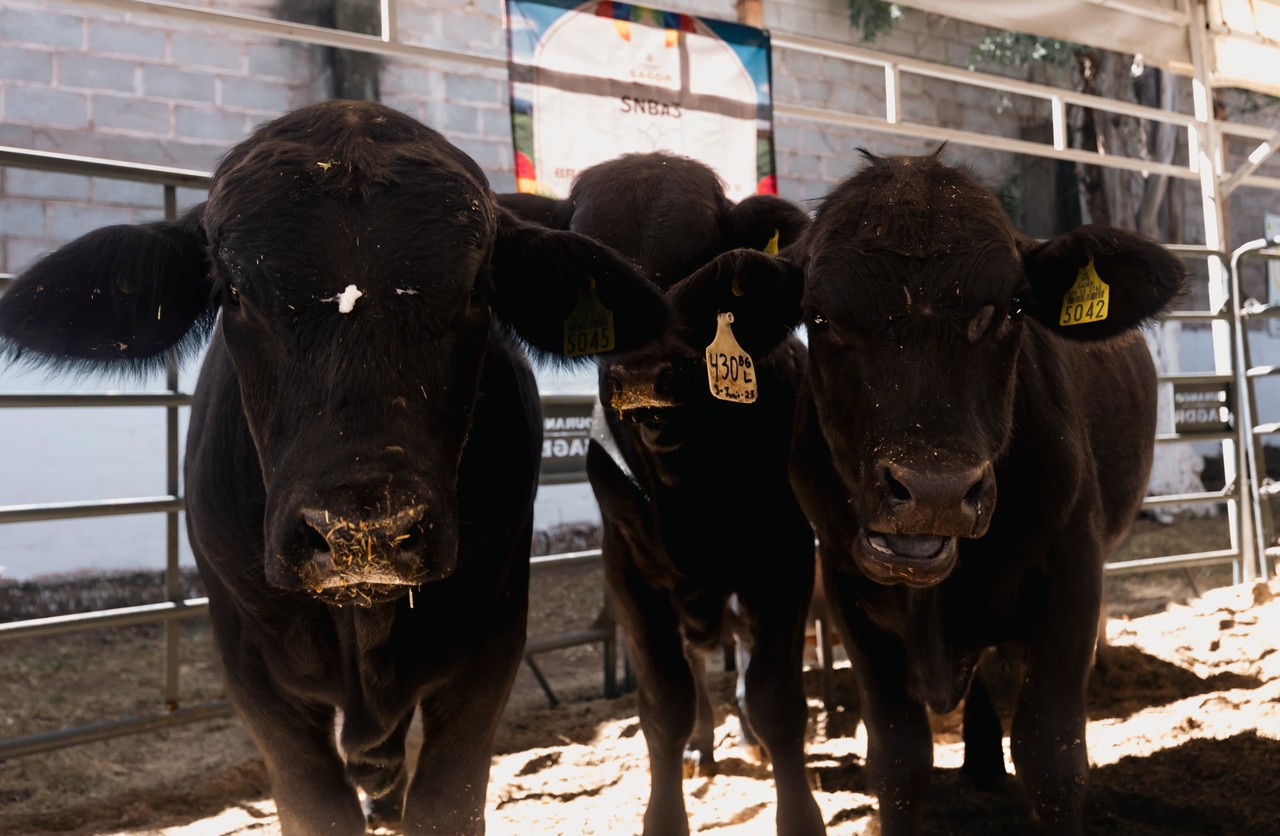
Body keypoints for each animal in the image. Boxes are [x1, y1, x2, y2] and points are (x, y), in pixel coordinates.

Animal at [0, 102, 675, 834]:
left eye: (475, 288)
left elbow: (446, 804)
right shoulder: (250, 665)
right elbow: (315, 808)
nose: (363, 529)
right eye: (233, 291)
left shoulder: (490, 636)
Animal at [504, 152, 824, 829]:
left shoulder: (781, 557)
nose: (643, 375)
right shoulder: (628, 567)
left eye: (699, 261)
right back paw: (703, 748)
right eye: (597, 280)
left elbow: (777, 700)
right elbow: (664, 704)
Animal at [696, 152, 1182, 829]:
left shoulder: (1072, 572)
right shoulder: (848, 593)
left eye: (1012, 309)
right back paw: (979, 764)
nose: (935, 490)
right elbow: (898, 761)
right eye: (819, 316)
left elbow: (1053, 758)